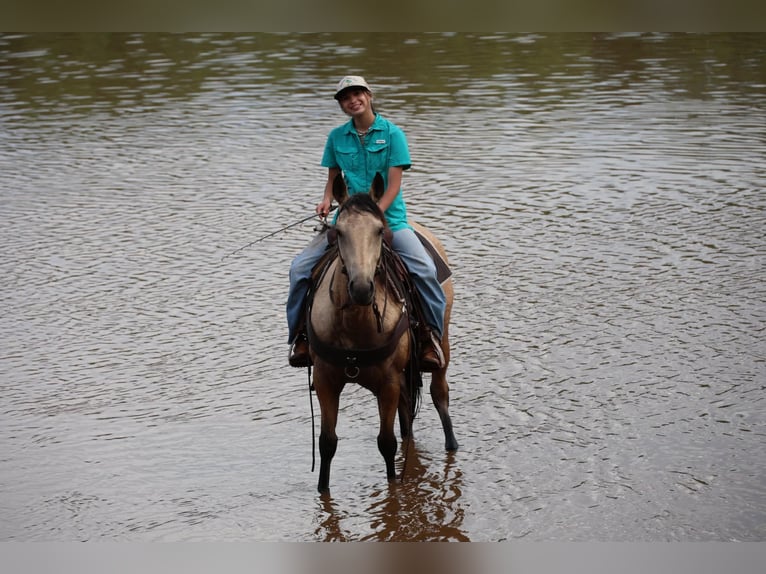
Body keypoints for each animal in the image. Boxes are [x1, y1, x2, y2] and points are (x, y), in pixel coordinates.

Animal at [307, 172, 458, 493]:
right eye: (338, 232)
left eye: (379, 231)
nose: (362, 288)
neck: (354, 324)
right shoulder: (325, 379)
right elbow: (327, 443)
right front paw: (323, 490)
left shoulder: (387, 382)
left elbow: (386, 443)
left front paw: (394, 488)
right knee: (407, 412)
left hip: (443, 342)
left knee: (440, 393)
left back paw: (452, 444)